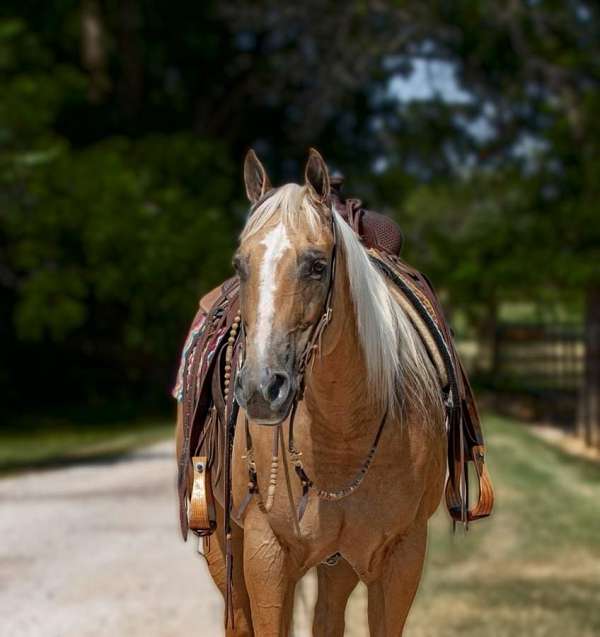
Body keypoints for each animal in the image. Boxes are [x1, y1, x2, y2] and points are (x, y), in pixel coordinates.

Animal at [177, 148, 446, 632]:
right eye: (240, 265)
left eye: (317, 265)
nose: (261, 388)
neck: (343, 433)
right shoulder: (265, 553)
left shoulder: (402, 555)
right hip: (224, 546)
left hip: (337, 562)